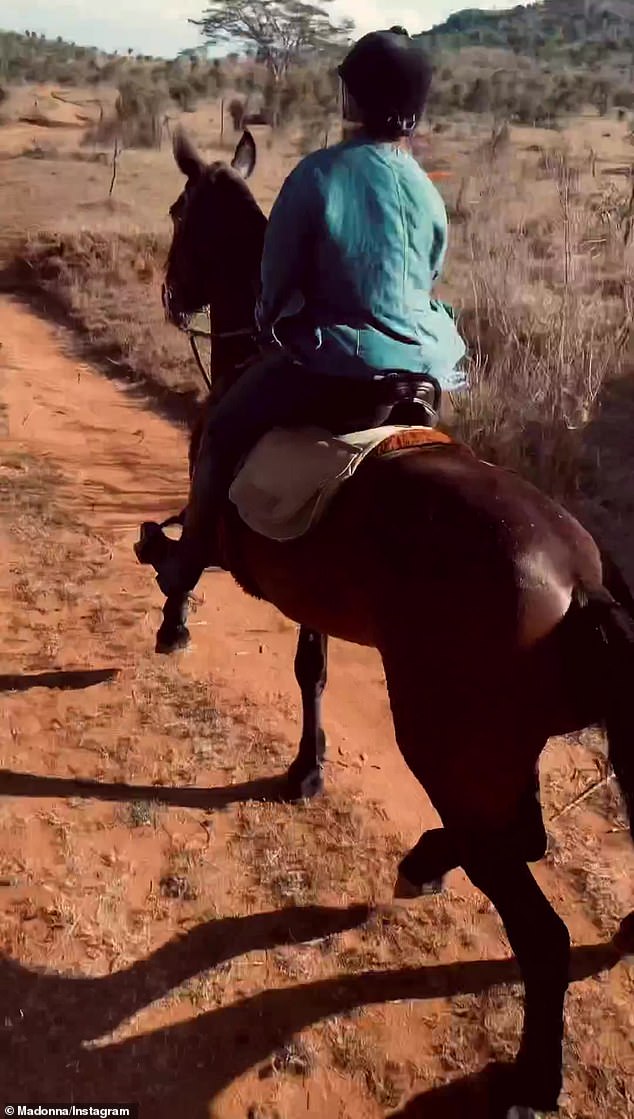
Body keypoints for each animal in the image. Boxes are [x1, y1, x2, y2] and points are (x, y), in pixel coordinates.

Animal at [136, 127, 630, 1114]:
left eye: (180, 212)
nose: (171, 296)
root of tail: (581, 584)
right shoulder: (313, 595)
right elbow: (313, 669)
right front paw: (306, 770)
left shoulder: (219, 509)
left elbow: (188, 559)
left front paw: (171, 615)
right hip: (500, 744)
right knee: (521, 836)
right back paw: (428, 859)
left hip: (449, 739)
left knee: (539, 920)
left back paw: (532, 1074)